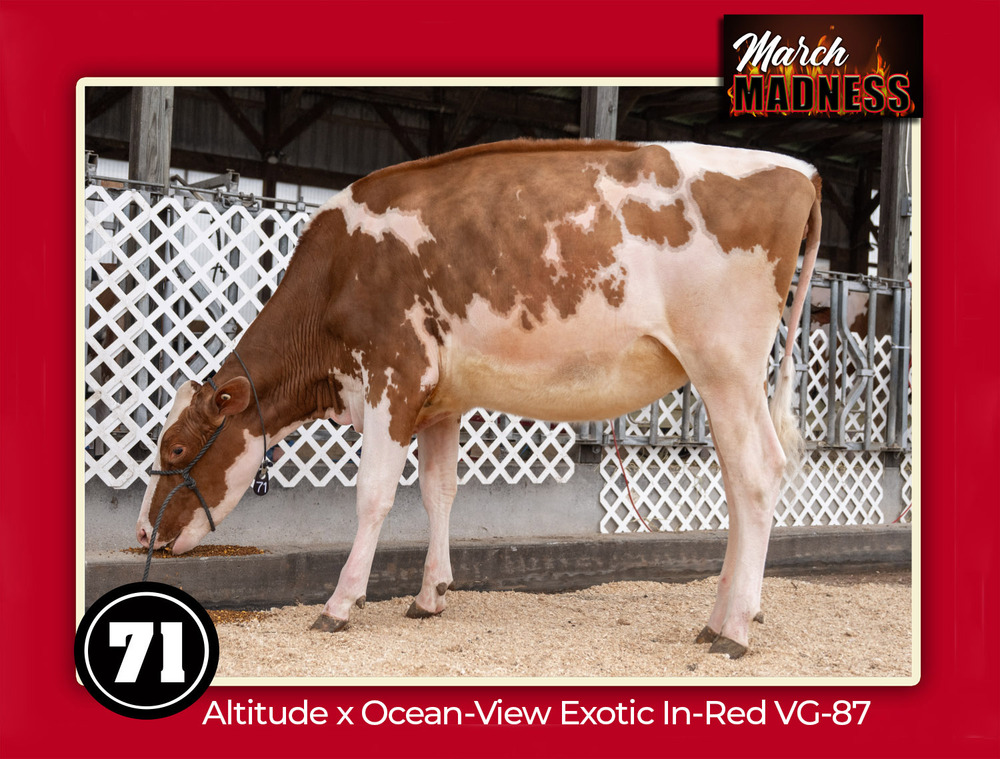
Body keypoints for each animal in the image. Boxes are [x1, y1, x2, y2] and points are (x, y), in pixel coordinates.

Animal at [137, 139, 821, 659]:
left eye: (176, 449)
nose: (144, 533)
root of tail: (801, 170)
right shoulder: (440, 399)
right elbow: (438, 492)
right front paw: (429, 595)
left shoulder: (393, 376)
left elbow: (373, 496)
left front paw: (340, 603)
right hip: (722, 376)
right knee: (739, 482)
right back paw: (721, 616)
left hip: (726, 364)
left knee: (756, 474)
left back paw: (733, 630)